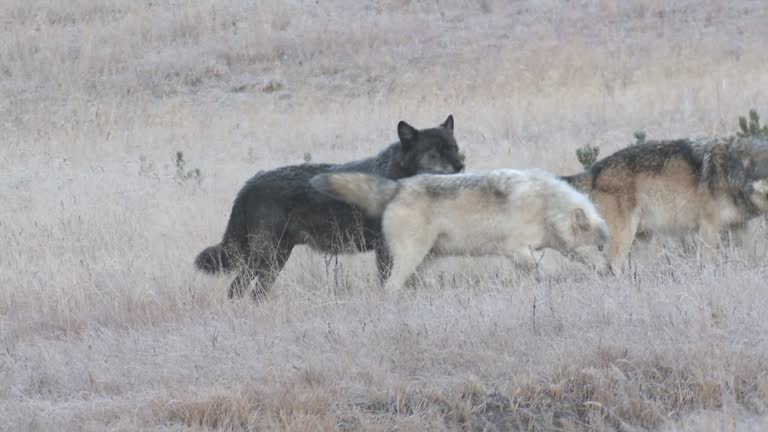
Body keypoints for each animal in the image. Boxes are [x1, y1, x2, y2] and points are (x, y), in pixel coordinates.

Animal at [195, 115, 464, 300]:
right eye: (434, 152)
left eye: (454, 147)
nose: (461, 166)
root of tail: (250, 182)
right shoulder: (384, 248)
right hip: (266, 255)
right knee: (236, 287)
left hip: (276, 258)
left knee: (255, 291)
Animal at [311, 168, 611, 292]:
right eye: (599, 247)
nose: (610, 271)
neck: (548, 207)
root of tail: (399, 186)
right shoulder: (517, 249)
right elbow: (547, 267)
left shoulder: (518, 256)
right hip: (411, 257)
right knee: (390, 286)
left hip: (426, 260)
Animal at [562, 136, 768, 272]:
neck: (731, 171)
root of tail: (595, 170)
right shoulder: (709, 226)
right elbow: (708, 262)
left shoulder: (739, 226)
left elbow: (753, 256)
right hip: (623, 237)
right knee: (610, 267)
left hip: (643, 239)